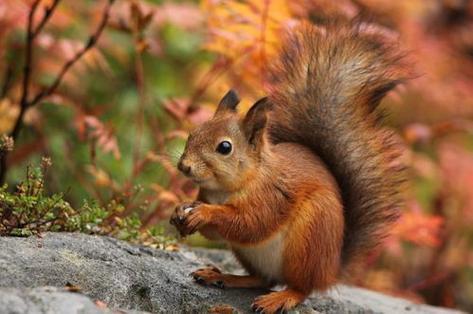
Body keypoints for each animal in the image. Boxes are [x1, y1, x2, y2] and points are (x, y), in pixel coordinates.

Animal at [169, 20, 406, 312]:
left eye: (224, 147)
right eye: (193, 132)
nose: (184, 166)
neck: (228, 188)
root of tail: (330, 270)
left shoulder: (272, 196)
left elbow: (250, 223)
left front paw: (204, 212)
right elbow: (217, 233)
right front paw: (180, 209)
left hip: (308, 240)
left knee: (301, 287)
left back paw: (281, 298)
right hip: (249, 254)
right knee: (262, 279)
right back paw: (224, 277)